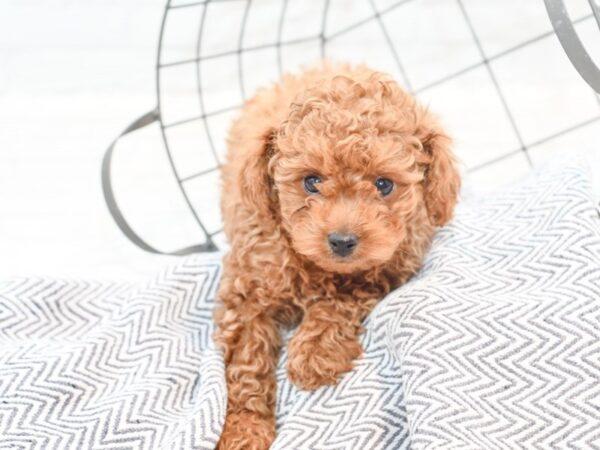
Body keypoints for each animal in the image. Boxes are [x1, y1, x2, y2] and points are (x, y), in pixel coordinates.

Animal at [214, 62, 460, 446]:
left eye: (384, 185)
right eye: (311, 181)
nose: (342, 241)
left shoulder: (385, 270)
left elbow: (340, 302)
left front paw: (314, 354)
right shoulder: (247, 294)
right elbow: (246, 362)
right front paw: (245, 430)